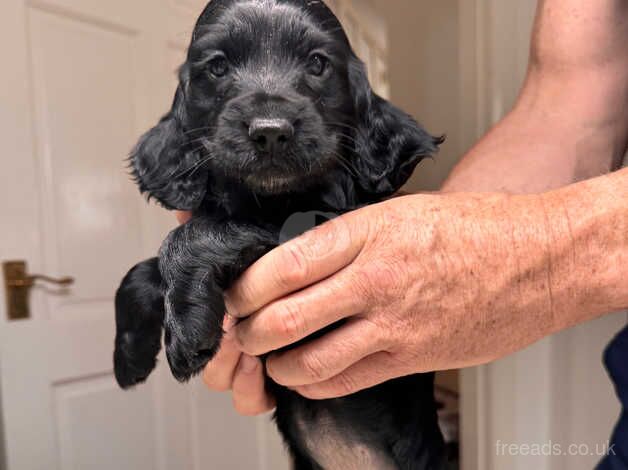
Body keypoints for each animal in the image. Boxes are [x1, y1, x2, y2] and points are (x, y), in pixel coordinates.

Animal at [114, 1, 446, 468]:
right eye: (217, 66)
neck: (271, 197)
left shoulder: (326, 228)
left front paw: (187, 332)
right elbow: (142, 270)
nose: (270, 131)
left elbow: (194, 235)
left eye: (318, 63)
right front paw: (130, 354)